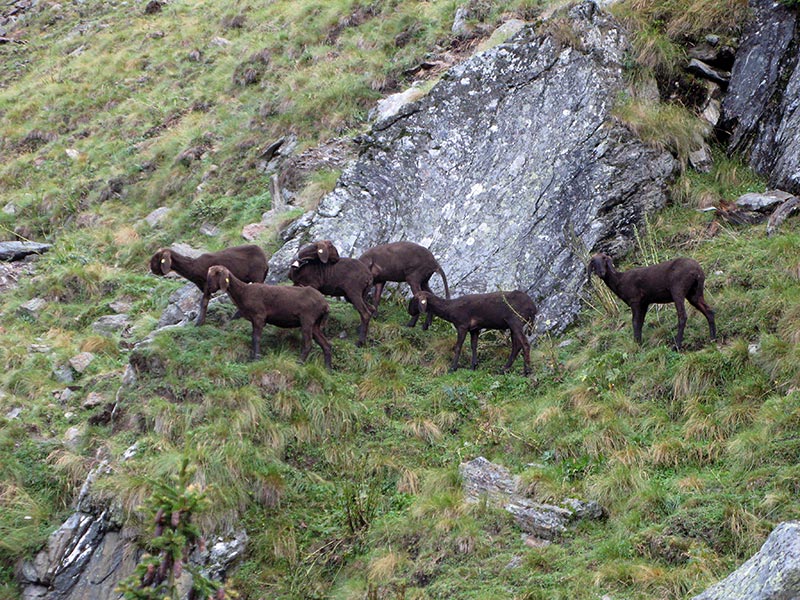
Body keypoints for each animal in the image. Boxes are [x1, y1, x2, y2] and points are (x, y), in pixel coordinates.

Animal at [206, 264, 334, 368]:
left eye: (215, 274)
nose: (208, 290)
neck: (243, 292)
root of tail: (325, 304)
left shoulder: (259, 316)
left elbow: (256, 338)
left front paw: (256, 358)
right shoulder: (254, 319)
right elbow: (253, 337)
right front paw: (252, 357)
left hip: (307, 320)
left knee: (308, 344)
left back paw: (299, 363)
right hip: (315, 324)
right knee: (326, 345)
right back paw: (328, 369)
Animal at [584, 251, 716, 350]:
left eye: (604, 259)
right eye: (593, 262)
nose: (601, 273)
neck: (619, 280)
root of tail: (697, 270)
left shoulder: (635, 300)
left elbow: (635, 322)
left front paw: (637, 345)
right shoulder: (644, 303)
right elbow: (641, 323)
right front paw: (639, 342)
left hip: (678, 289)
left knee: (682, 316)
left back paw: (677, 346)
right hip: (694, 292)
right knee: (709, 310)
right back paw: (713, 338)